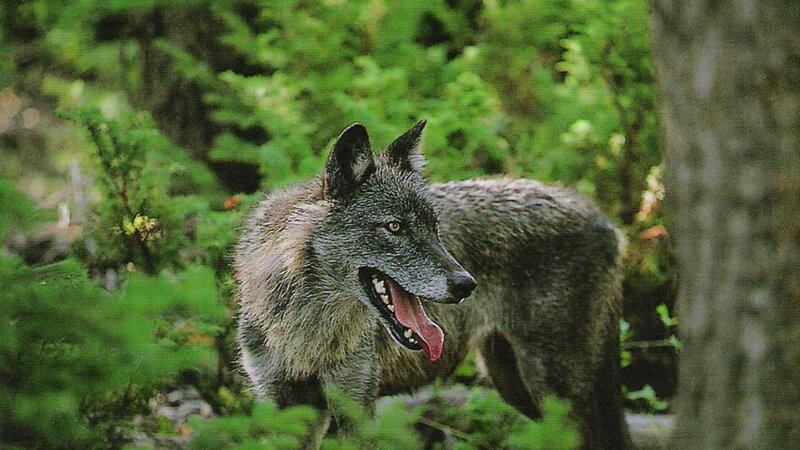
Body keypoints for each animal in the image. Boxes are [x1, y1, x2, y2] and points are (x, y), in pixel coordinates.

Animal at [234, 121, 631, 449]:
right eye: (395, 227)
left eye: (434, 228)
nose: (466, 284)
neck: (307, 328)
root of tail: (608, 224)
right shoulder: (283, 405)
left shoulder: (357, 405)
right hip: (515, 386)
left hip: (554, 390)